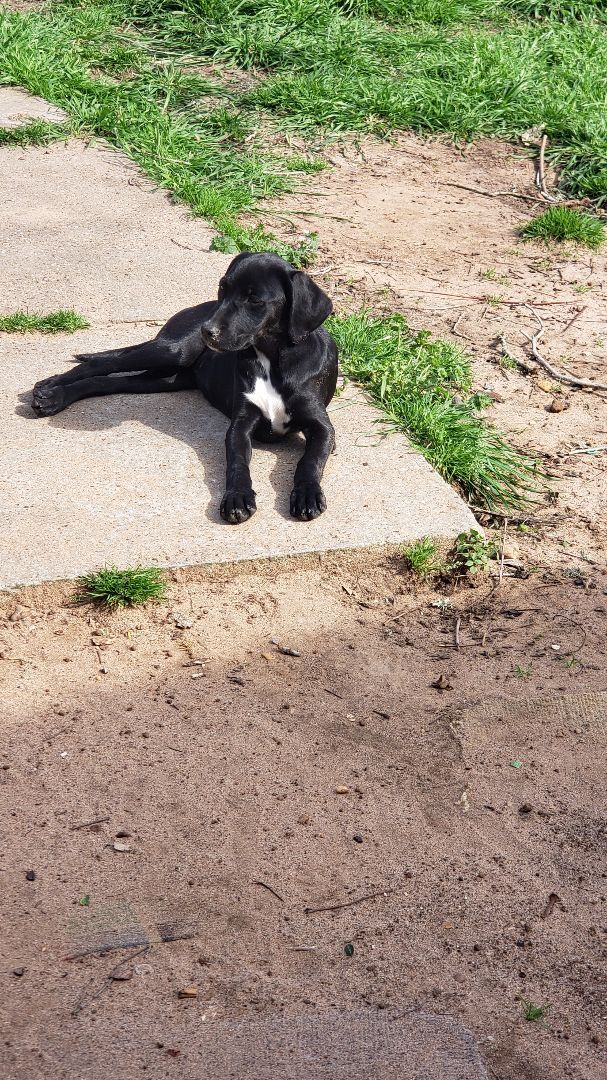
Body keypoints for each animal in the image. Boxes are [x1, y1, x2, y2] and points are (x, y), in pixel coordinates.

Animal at [30, 252, 336, 522]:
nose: (206, 331)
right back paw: (51, 391)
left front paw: (307, 495)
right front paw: (236, 498)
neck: (273, 360)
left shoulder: (322, 427)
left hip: (165, 378)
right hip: (173, 351)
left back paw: (54, 394)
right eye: (222, 288)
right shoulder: (240, 425)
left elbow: (309, 462)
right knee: (102, 364)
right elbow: (237, 463)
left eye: (254, 299)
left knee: (108, 381)